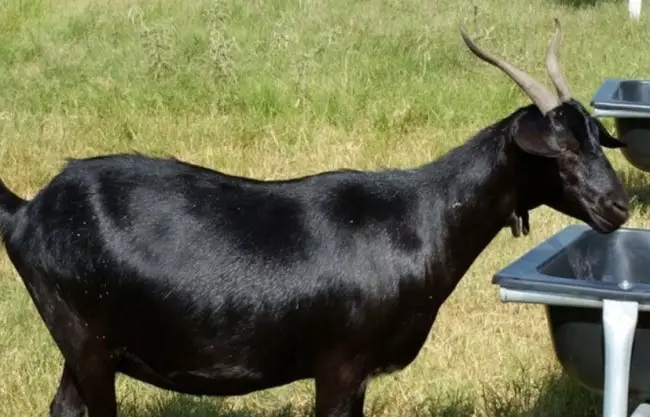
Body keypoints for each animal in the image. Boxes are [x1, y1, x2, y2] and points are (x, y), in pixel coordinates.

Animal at [1, 18, 628, 416]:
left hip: (85, 346)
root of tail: (28, 210)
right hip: (83, 335)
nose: (618, 206)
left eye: (597, 138)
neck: (418, 220)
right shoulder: (340, 365)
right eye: (560, 151)